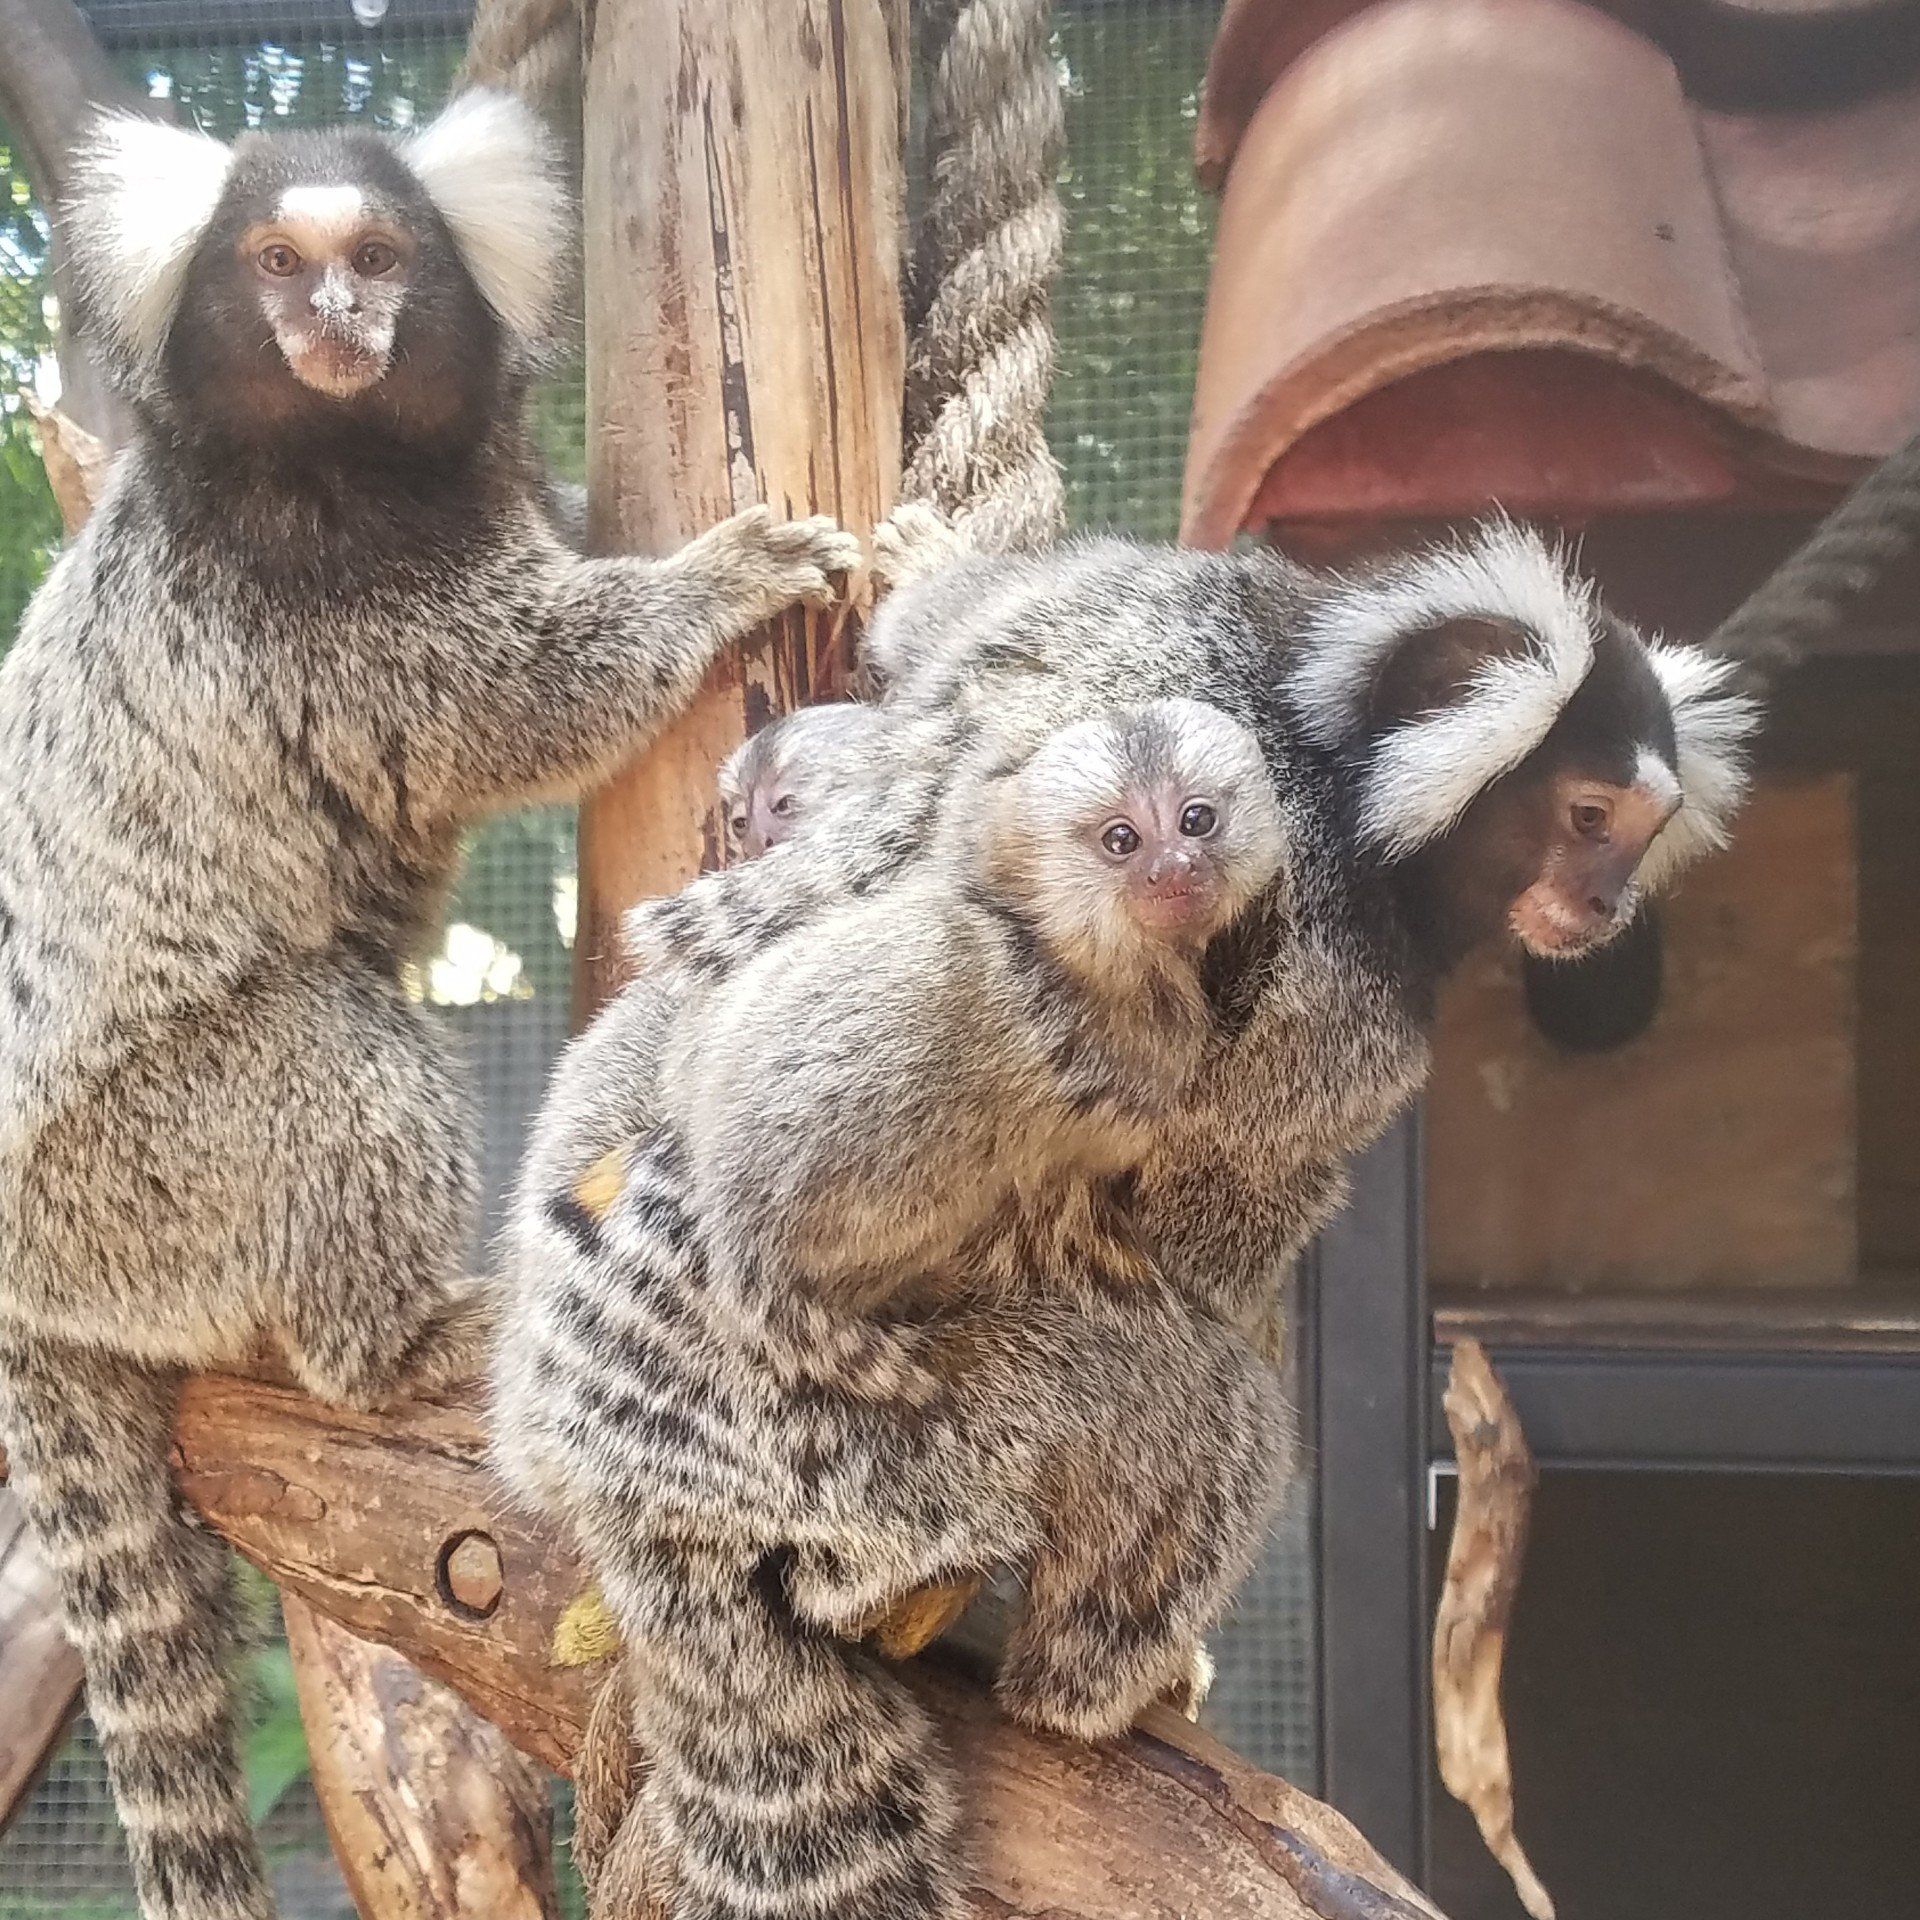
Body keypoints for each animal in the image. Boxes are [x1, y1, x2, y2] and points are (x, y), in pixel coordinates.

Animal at [0, 92, 858, 1920]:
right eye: (273, 261)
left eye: (381, 254)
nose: (334, 318)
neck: (343, 459)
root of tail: (26, 1284)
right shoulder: (301, 599)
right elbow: (513, 695)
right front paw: (727, 574)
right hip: (123, 1185)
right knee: (334, 1049)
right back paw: (401, 1343)